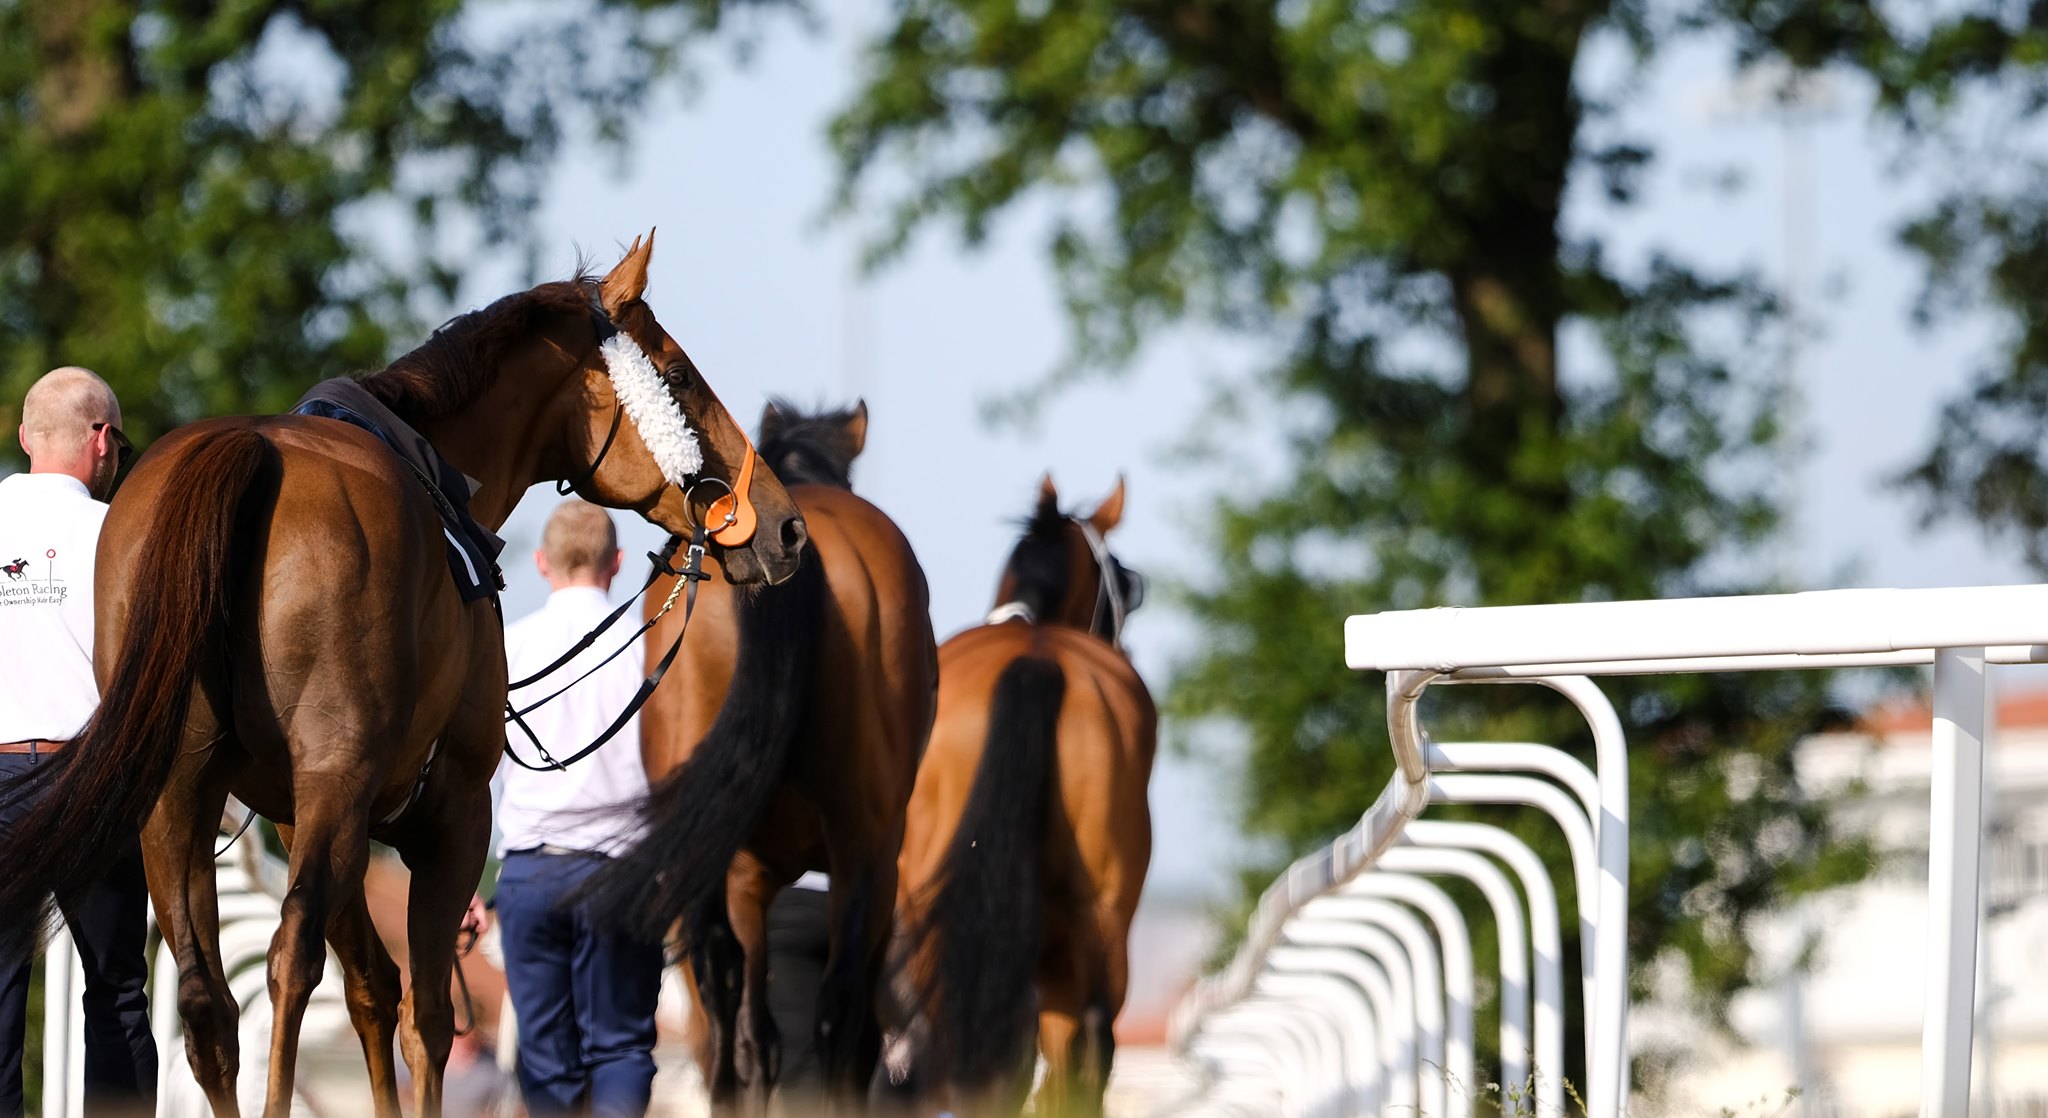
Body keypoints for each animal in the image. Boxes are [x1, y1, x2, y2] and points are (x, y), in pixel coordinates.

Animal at [0, 233, 808, 1118]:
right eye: (677, 376)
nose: (786, 526)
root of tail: (248, 453)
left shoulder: (306, 818)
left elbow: (372, 990)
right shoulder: (450, 815)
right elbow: (425, 1016)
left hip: (179, 796)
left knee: (209, 1001)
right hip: (326, 787)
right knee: (289, 961)